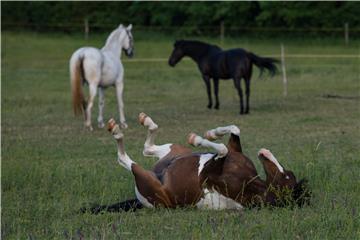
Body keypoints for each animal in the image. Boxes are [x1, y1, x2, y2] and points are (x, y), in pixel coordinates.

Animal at [86, 113, 310, 213]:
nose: (265, 152)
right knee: (147, 148)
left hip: (149, 183)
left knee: (126, 159)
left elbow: (222, 149)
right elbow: (234, 131)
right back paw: (146, 121)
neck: (251, 182)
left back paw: (117, 131)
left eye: (286, 176)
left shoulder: (209, 176)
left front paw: (198, 139)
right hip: (174, 151)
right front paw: (212, 133)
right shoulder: (235, 152)